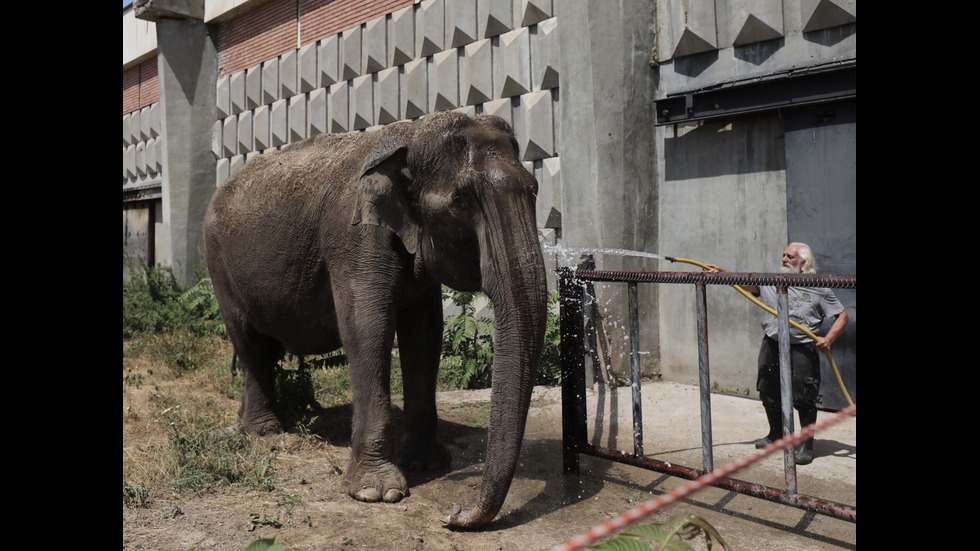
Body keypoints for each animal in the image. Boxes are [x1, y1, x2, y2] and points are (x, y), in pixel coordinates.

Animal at [202, 112, 548, 532]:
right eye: (462, 200)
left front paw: (427, 463)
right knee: (250, 343)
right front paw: (377, 493)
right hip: (219, 265)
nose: (453, 514)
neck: (409, 136)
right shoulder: (353, 238)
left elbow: (425, 334)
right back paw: (265, 431)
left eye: (534, 189)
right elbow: (367, 327)